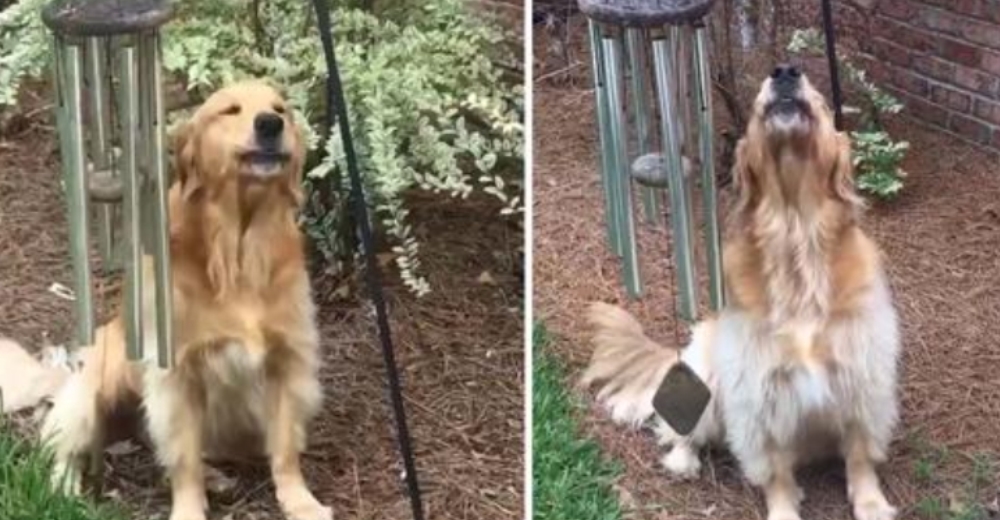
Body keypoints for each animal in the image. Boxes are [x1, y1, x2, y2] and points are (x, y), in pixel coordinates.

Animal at [42, 80, 332, 520]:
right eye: (230, 110)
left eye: (281, 108)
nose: (270, 124)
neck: (238, 246)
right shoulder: (177, 374)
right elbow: (184, 459)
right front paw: (189, 509)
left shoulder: (287, 361)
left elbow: (284, 448)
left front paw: (300, 501)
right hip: (94, 387)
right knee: (64, 445)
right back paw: (63, 486)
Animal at [584, 66, 904, 520]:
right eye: (755, 109)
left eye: (823, 102)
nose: (785, 71)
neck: (796, 233)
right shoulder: (757, 395)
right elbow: (775, 470)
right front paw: (784, 509)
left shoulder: (862, 377)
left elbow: (860, 453)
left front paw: (871, 502)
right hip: (704, 375)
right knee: (681, 429)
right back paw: (683, 460)